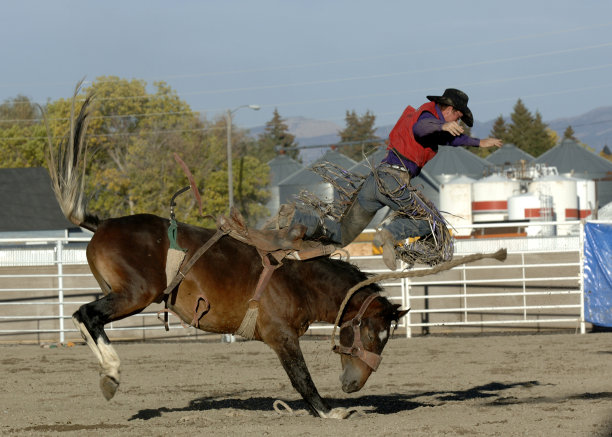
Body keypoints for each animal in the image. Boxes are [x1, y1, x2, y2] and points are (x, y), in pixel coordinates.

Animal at [47, 94, 408, 416]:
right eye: (372, 335)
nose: (353, 384)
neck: (300, 279)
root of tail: (102, 223)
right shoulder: (282, 336)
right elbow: (301, 378)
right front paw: (329, 412)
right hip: (136, 293)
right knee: (86, 314)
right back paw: (111, 374)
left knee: (85, 316)